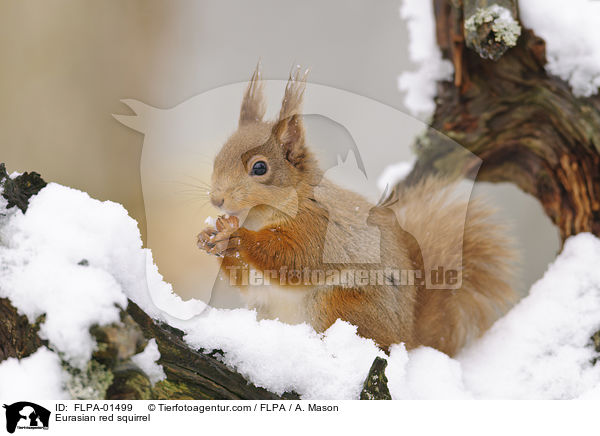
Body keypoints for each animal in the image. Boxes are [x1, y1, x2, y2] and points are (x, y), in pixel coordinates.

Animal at [197, 65, 516, 358]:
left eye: (260, 168)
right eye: (216, 159)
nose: (217, 199)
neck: (260, 214)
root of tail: (407, 339)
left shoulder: (318, 227)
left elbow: (294, 259)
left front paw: (238, 236)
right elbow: (245, 278)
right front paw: (211, 237)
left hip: (341, 303)